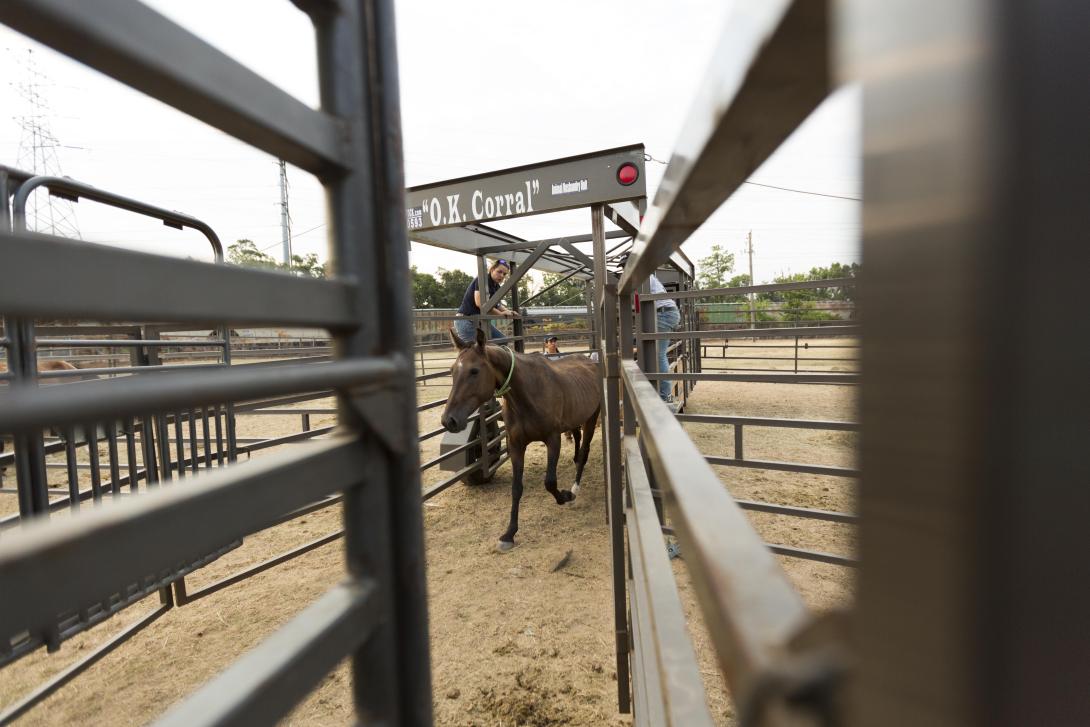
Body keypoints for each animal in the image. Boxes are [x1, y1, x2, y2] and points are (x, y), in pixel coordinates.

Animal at [438, 329, 601, 551]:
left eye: (474, 371)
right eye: (452, 370)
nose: (449, 420)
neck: (528, 393)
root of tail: (589, 361)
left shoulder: (553, 439)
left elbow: (550, 482)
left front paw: (565, 496)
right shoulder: (516, 445)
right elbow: (516, 489)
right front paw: (509, 534)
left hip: (591, 418)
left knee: (584, 452)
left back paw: (575, 488)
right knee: (577, 440)